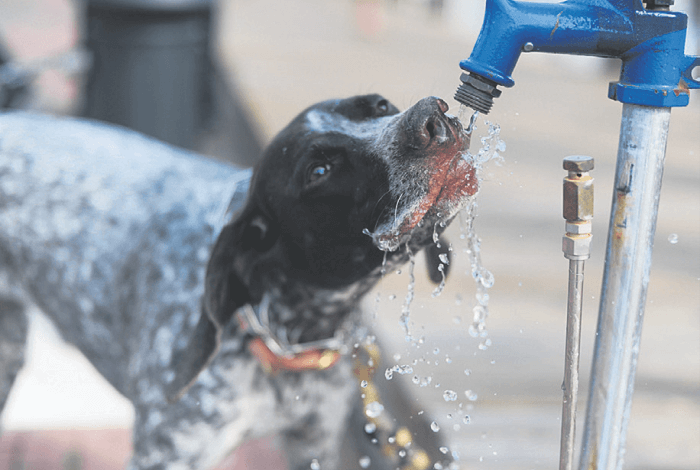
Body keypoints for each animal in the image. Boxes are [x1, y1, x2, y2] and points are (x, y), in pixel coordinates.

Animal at [0, 93, 476, 468]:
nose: (434, 116)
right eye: (318, 171)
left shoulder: (314, 443)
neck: (286, 332)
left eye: (380, 107)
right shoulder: (169, 455)